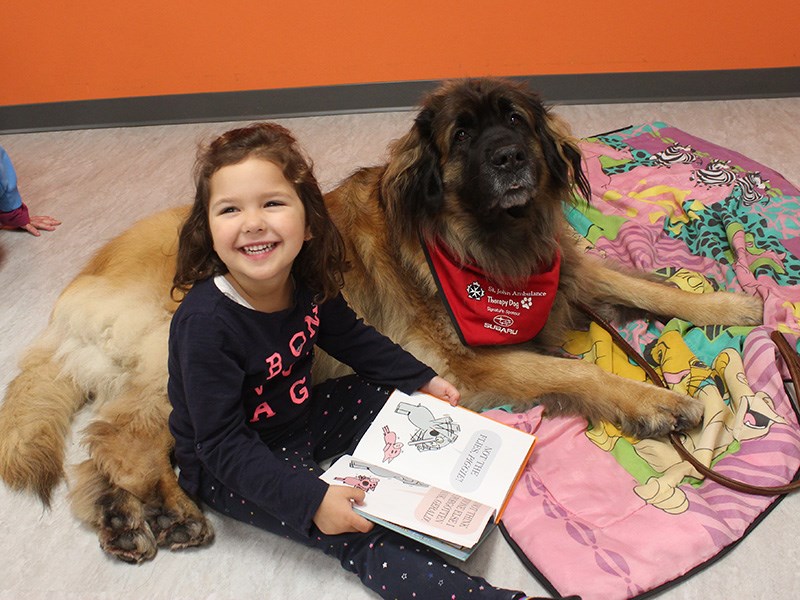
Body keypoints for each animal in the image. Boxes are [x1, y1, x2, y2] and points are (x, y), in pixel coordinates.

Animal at [0, 76, 764, 564]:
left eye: (515, 121)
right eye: (464, 134)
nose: (511, 159)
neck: (484, 242)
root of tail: (79, 286)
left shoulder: (564, 270)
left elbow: (643, 287)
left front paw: (732, 303)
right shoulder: (473, 361)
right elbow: (571, 372)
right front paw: (657, 401)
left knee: (101, 457)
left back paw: (129, 518)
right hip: (179, 353)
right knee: (122, 437)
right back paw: (166, 513)